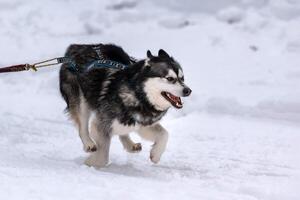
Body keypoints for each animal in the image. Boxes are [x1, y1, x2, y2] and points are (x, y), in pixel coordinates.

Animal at [59, 43, 191, 167]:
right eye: (170, 78)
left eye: (182, 78)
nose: (188, 91)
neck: (139, 96)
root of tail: (77, 47)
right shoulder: (102, 123)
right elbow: (103, 157)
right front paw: (90, 164)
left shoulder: (143, 123)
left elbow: (164, 134)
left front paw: (156, 155)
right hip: (81, 101)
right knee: (82, 127)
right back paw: (89, 144)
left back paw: (130, 144)